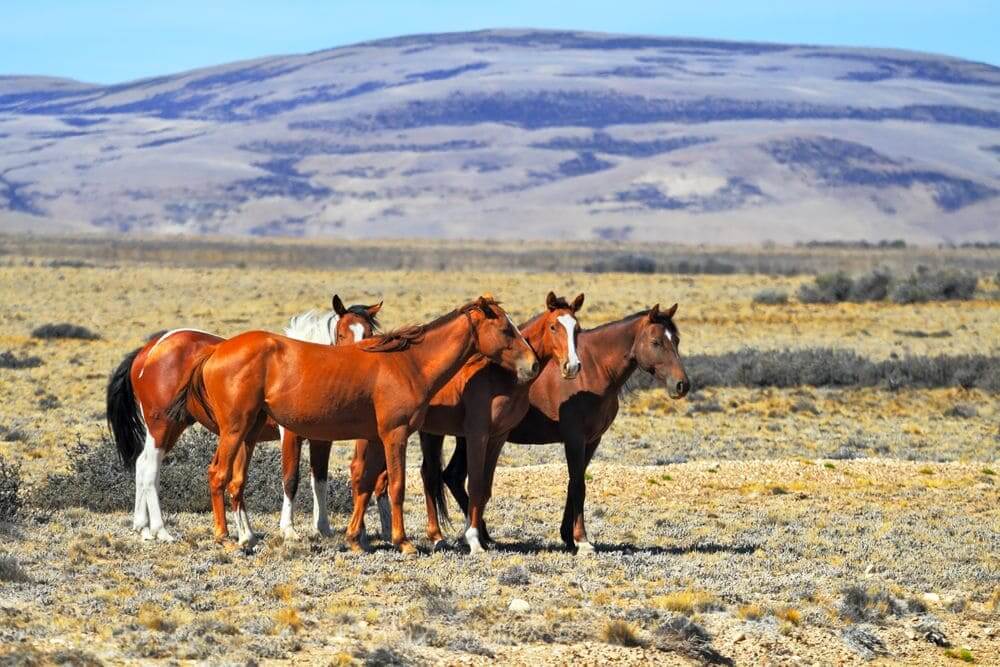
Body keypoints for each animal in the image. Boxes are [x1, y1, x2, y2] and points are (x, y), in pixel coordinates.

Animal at [105, 296, 378, 544]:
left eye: (369, 332)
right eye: (342, 334)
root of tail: (149, 351)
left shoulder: (321, 439)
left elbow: (319, 480)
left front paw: (323, 528)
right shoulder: (289, 435)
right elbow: (290, 479)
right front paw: (288, 529)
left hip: (174, 427)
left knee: (142, 463)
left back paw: (144, 528)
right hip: (162, 426)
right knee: (151, 468)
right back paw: (161, 530)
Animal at [166, 296, 540, 552]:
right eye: (505, 328)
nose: (533, 364)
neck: (407, 363)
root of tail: (215, 352)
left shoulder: (373, 438)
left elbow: (364, 484)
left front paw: (355, 539)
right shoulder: (395, 435)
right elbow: (396, 486)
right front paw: (403, 541)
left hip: (250, 432)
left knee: (234, 481)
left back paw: (246, 536)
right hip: (235, 430)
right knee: (218, 474)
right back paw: (225, 537)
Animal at [348, 290, 584, 552]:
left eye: (577, 329)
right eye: (554, 327)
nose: (572, 366)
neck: (499, 377)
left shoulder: (498, 437)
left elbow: (485, 488)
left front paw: (479, 537)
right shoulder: (476, 435)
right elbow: (475, 484)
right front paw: (473, 539)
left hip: (430, 433)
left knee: (426, 475)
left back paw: (435, 536)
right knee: (361, 472)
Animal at [432, 306, 688, 556]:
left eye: (676, 340)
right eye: (656, 342)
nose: (682, 385)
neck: (594, 370)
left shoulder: (592, 441)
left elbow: (574, 484)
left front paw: (568, 536)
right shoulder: (574, 439)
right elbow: (578, 486)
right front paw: (582, 541)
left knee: (452, 476)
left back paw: (481, 535)